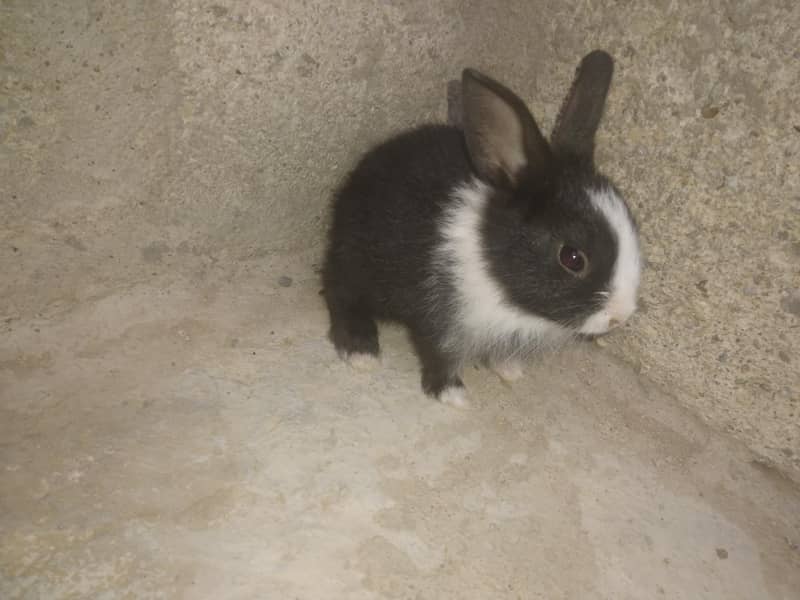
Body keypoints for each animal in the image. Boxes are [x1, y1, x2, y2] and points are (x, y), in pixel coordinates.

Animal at [322, 50, 641, 408]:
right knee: (339, 292)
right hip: (356, 263)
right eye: (573, 258)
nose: (620, 316)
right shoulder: (442, 320)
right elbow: (440, 355)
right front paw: (453, 395)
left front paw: (510, 371)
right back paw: (361, 353)